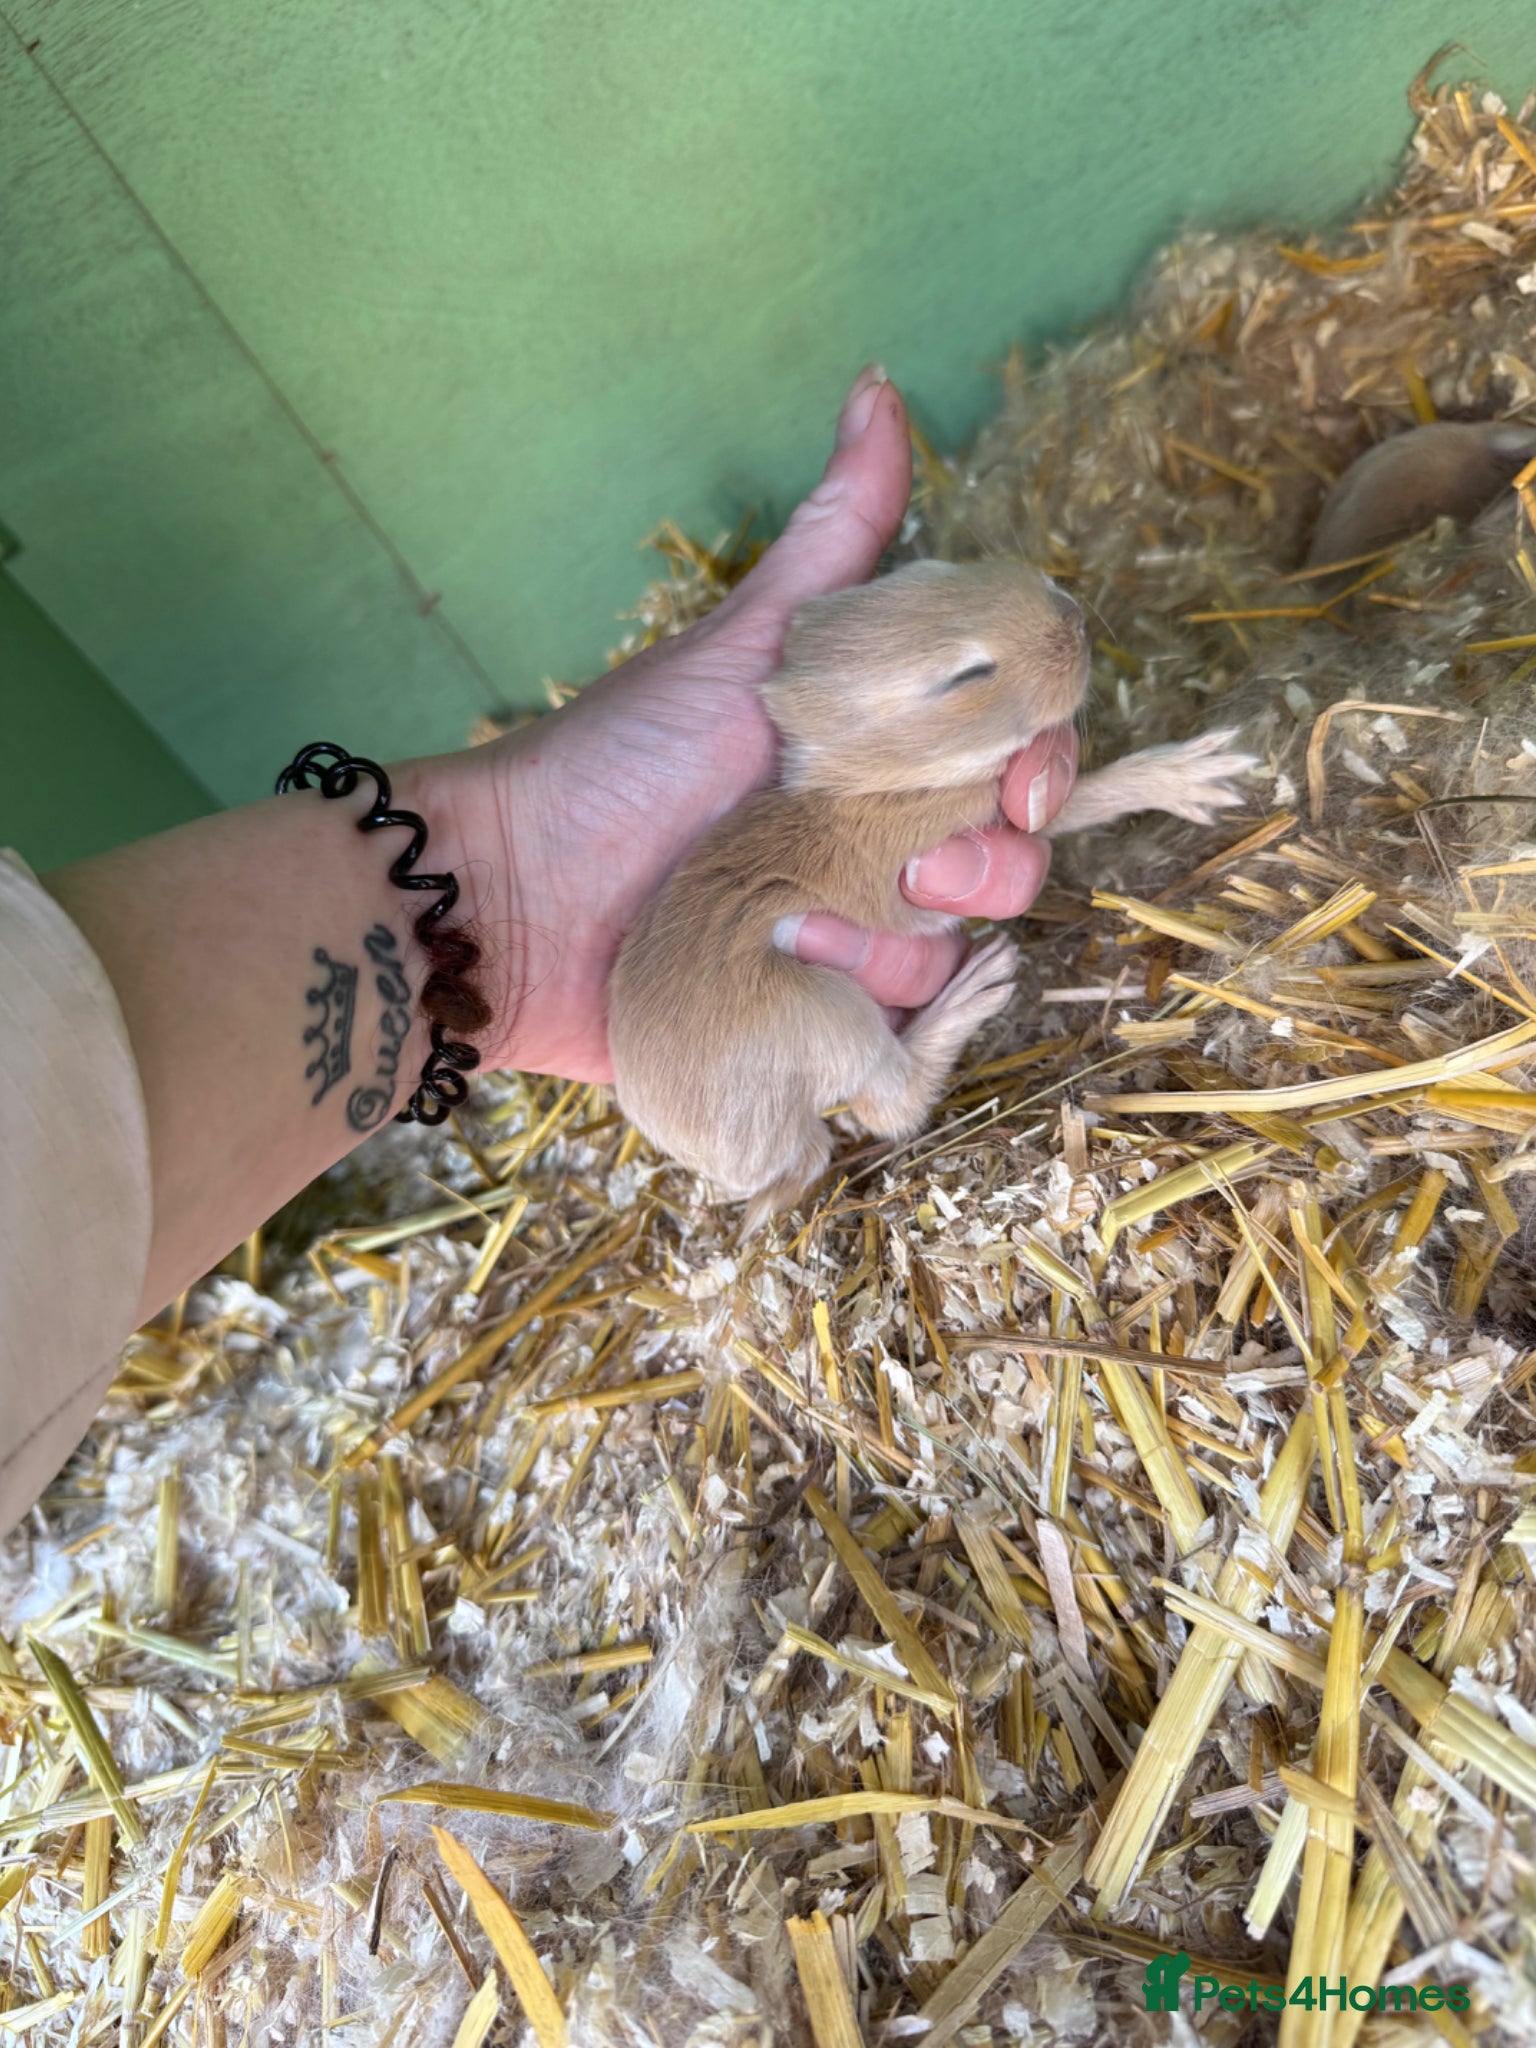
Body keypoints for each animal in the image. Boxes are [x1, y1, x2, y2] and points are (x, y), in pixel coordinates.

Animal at [608, 558, 1254, 1230]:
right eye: (967, 675)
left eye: (935, 570)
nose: (1073, 618)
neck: (885, 780)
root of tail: (735, 1162)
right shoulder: (991, 816)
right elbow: (1090, 796)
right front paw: (1199, 775)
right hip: (826, 1010)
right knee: (887, 1107)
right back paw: (974, 988)